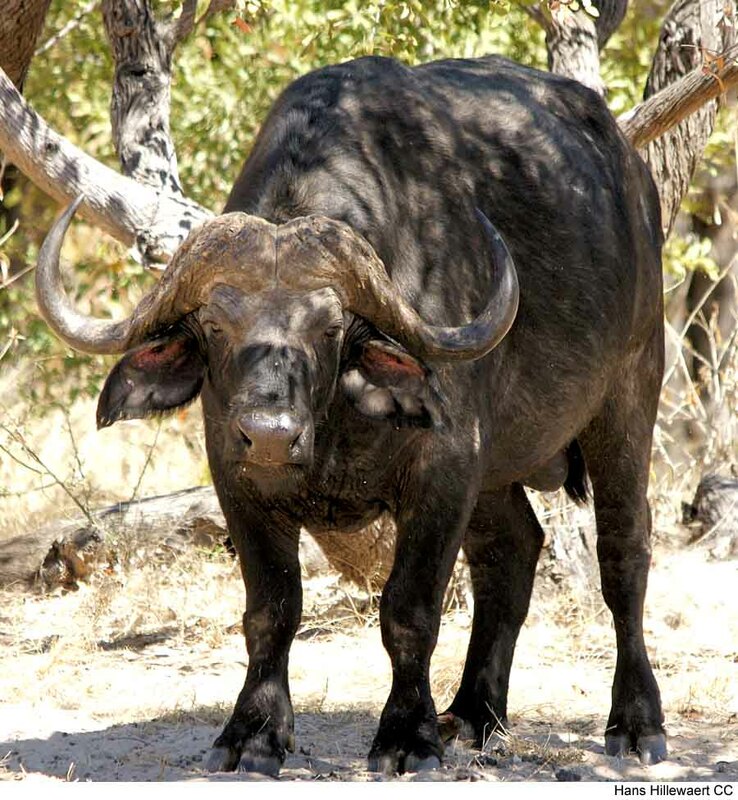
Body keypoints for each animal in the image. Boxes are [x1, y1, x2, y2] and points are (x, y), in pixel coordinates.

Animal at [35, 54, 667, 775]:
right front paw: (253, 733)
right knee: (510, 551)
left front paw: (406, 736)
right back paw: (475, 714)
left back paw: (635, 722)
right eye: (216, 326)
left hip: (629, 397)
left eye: (330, 328)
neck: (336, 423)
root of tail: (631, 177)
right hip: (496, 470)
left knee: (624, 554)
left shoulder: (444, 466)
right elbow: (271, 608)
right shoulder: (236, 478)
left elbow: (408, 610)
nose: (270, 438)